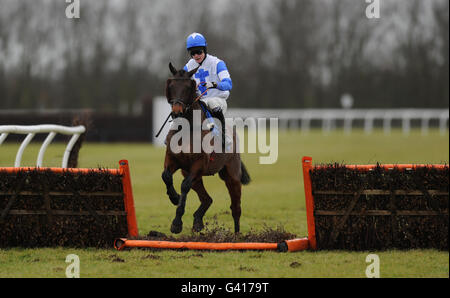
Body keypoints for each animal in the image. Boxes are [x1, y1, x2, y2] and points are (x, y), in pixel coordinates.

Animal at [162, 62, 251, 234]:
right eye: (171, 85)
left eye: (188, 87)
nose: (177, 112)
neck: (187, 128)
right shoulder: (173, 160)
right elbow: (166, 176)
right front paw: (174, 197)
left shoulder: (198, 164)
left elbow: (184, 186)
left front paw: (177, 223)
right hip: (193, 175)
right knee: (207, 199)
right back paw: (198, 221)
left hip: (232, 176)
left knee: (235, 207)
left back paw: (237, 235)